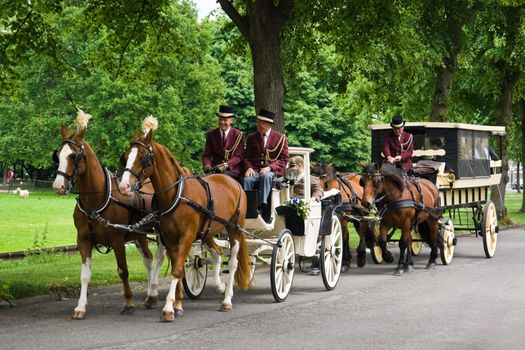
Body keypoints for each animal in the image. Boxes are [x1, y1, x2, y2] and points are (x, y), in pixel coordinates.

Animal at [52, 110, 164, 318]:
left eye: (74, 156)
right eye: (57, 155)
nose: (58, 186)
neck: (96, 201)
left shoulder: (117, 239)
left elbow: (123, 270)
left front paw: (128, 302)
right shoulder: (83, 239)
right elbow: (85, 274)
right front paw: (81, 306)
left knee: (162, 257)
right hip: (139, 235)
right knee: (149, 260)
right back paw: (150, 293)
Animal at [119, 116, 251, 322]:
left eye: (143, 157)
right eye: (125, 157)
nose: (124, 186)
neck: (176, 194)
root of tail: (232, 181)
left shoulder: (187, 237)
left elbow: (176, 270)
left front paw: (168, 308)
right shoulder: (169, 238)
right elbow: (177, 267)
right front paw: (177, 304)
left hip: (234, 228)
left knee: (233, 262)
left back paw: (227, 300)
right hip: (208, 231)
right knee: (216, 253)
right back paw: (220, 286)